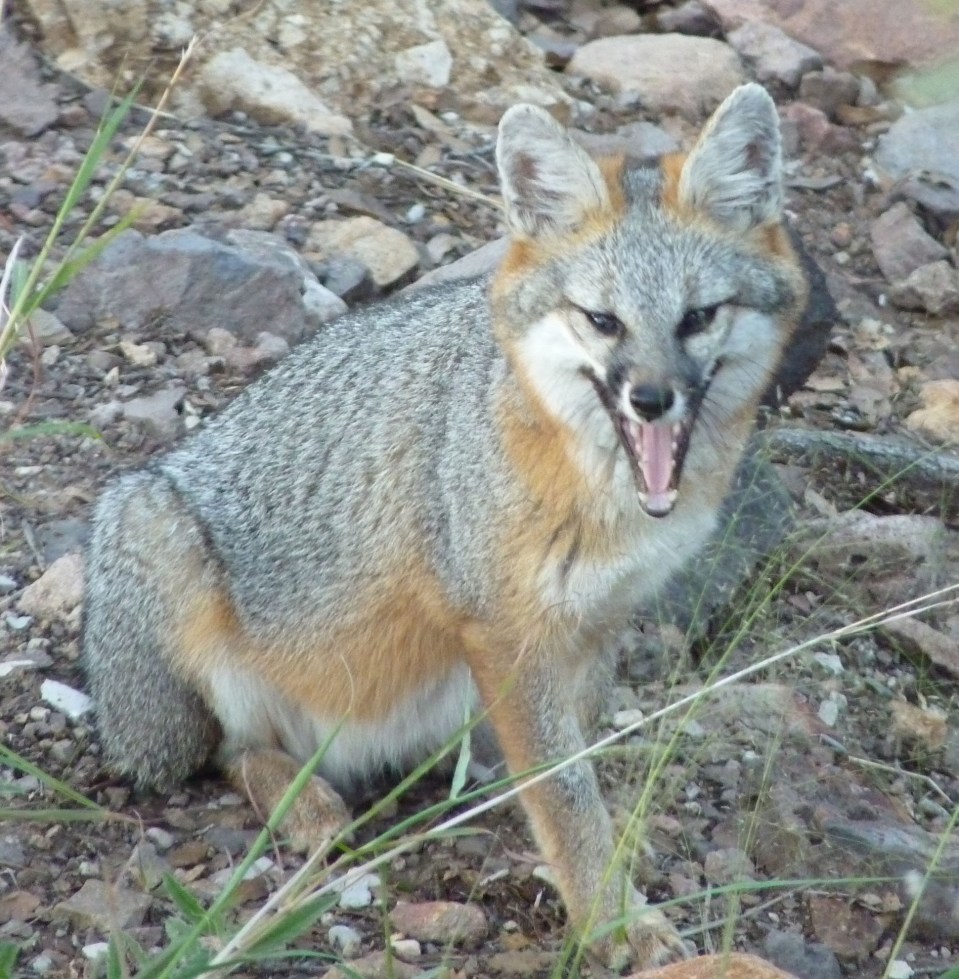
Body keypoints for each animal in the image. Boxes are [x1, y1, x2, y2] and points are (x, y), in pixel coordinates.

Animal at [82, 82, 807, 970]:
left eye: (699, 316)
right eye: (602, 320)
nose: (650, 398)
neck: (602, 498)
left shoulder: (597, 622)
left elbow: (577, 764)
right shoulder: (506, 632)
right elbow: (566, 795)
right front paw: (612, 919)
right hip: (162, 554)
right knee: (229, 750)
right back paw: (304, 800)